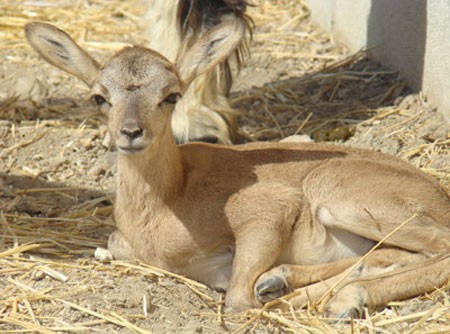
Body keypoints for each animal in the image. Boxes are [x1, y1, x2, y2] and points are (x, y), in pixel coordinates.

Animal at [24, 20, 450, 316]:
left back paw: (341, 298)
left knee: (437, 248)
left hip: (340, 198)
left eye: (171, 95)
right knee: (398, 254)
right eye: (99, 96)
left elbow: (238, 300)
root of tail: (439, 196)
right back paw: (285, 281)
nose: (131, 132)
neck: (168, 201)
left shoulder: (270, 210)